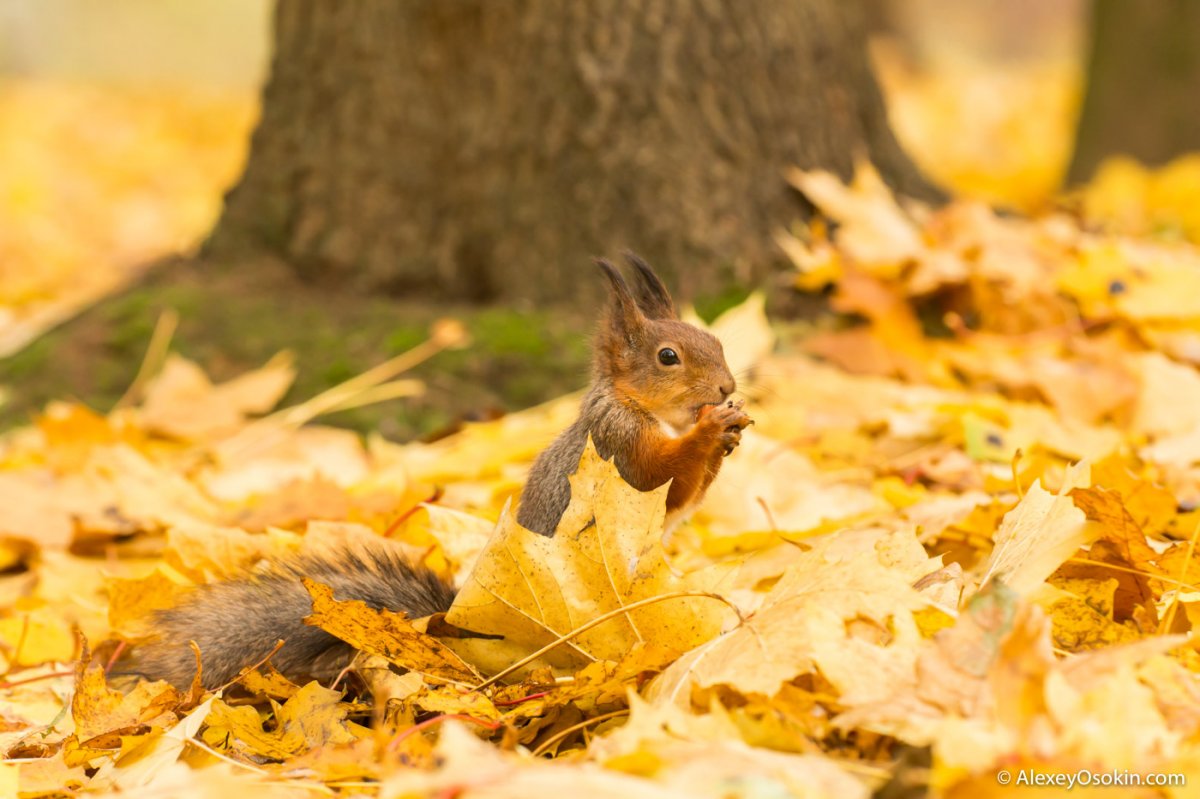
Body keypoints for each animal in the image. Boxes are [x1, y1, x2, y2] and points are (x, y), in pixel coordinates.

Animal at [131, 253, 748, 686]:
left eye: (716, 339)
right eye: (668, 357)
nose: (726, 387)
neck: (643, 409)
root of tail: (464, 628)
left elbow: (685, 497)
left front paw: (730, 433)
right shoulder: (614, 449)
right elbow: (660, 477)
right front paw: (710, 432)